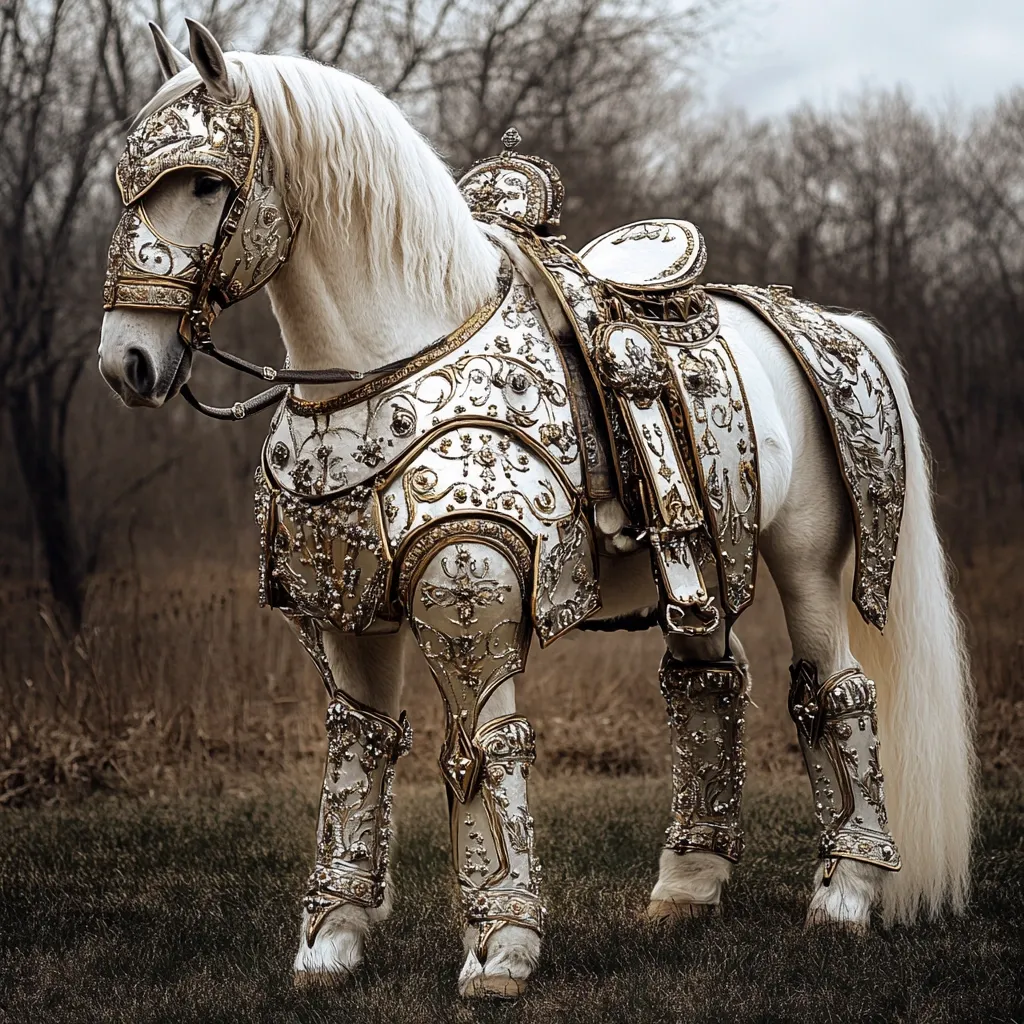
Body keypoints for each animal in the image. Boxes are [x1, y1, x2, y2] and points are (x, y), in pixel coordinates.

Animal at [97, 20, 975, 999]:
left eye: (204, 183)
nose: (126, 362)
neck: (383, 367)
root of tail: (813, 318)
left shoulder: (467, 600)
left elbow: (485, 746)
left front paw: (500, 948)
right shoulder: (345, 610)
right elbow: (360, 747)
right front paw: (331, 939)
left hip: (808, 560)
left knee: (836, 688)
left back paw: (849, 891)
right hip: (698, 573)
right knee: (709, 679)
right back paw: (686, 887)